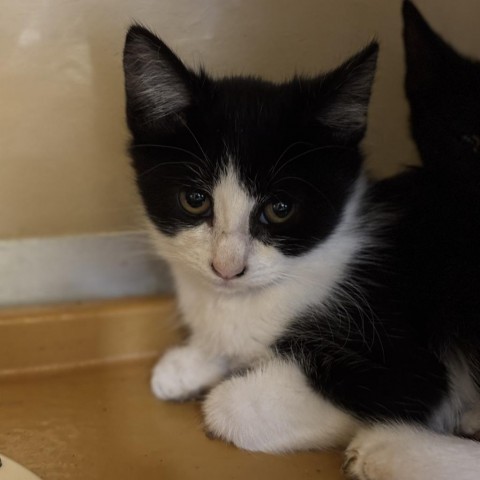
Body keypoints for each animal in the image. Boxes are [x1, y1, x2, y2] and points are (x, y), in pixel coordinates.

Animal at [123, 15, 480, 480]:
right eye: (195, 200)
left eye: (280, 209)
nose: (226, 268)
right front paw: (187, 364)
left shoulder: (402, 360)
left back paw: (390, 450)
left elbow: (230, 405)